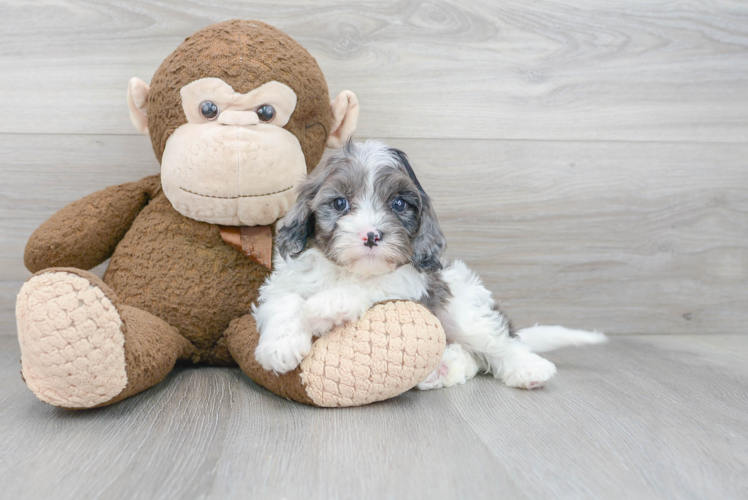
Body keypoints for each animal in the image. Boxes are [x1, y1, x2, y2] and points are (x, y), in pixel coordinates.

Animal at [254, 139, 604, 388]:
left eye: (398, 204)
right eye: (340, 203)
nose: (372, 235)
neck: (347, 270)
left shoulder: (413, 282)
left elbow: (374, 286)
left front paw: (327, 305)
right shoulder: (283, 280)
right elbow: (285, 300)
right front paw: (280, 346)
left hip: (464, 309)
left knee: (496, 341)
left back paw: (528, 367)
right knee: (470, 358)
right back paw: (443, 368)